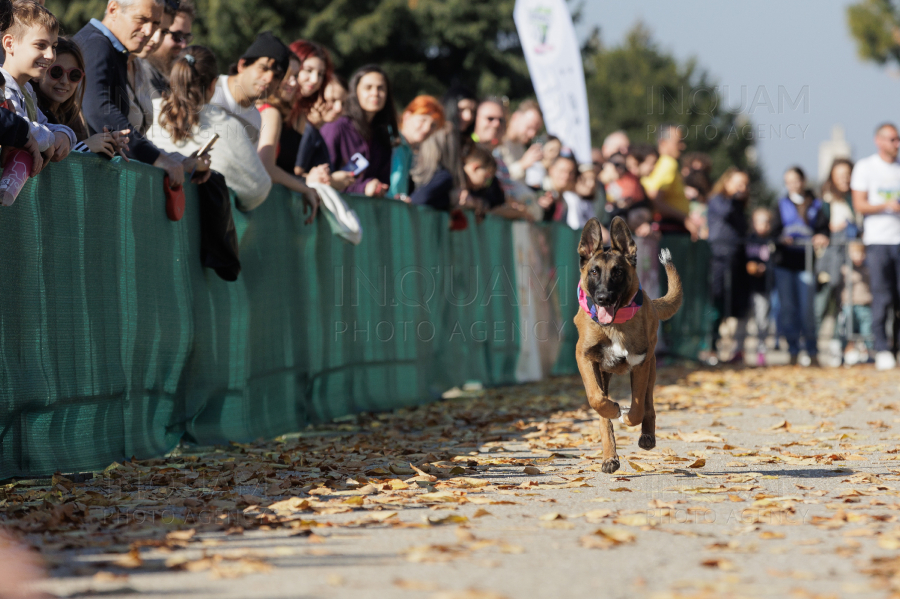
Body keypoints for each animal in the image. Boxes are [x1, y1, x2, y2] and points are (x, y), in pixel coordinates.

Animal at [576, 216, 684, 474]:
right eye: (594, 272)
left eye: (617, 272)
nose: (603, 298)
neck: (613, 325)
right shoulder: (584, 357)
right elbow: (597, 400)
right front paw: (614, 410)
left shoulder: (640, 364)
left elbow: (637, 408)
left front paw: (627, 416)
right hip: (604, 373)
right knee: (603, 413)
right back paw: (609, 457)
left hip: (651, 367)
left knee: (648, 404)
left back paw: (647, 436)